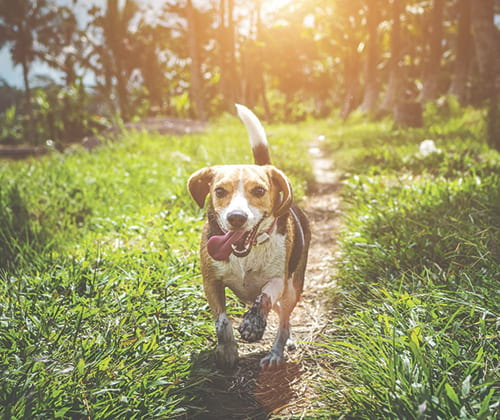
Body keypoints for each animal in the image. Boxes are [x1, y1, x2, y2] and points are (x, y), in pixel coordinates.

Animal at [188, 105, 308, 370]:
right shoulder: (210, 281)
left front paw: (253, 324)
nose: (236, 218)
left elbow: (264, 298)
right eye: (219, 191)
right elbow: (222, 321)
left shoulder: (278, 280)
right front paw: (227, 350)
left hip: (293, 289)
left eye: (259, 190)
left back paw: (276, 352)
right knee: (281, 317)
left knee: (283, 320)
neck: (246, 253)